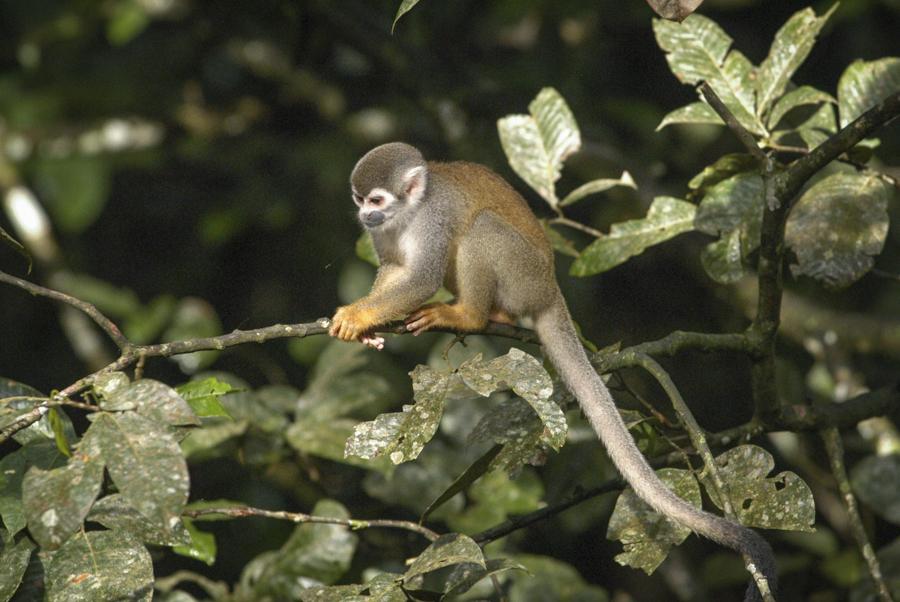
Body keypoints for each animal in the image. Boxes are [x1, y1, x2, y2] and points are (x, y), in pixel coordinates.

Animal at [328, 143, 772, 596]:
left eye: (376, 200)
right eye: (359, 200)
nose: (365, 216)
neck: (408, 213)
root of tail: (551, 289)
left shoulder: (434, 219)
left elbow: (421, 277)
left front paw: (357, 315)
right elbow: (396, 270)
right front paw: (367, 327)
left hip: (523, 276)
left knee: (481, 228)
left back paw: (470, 315)